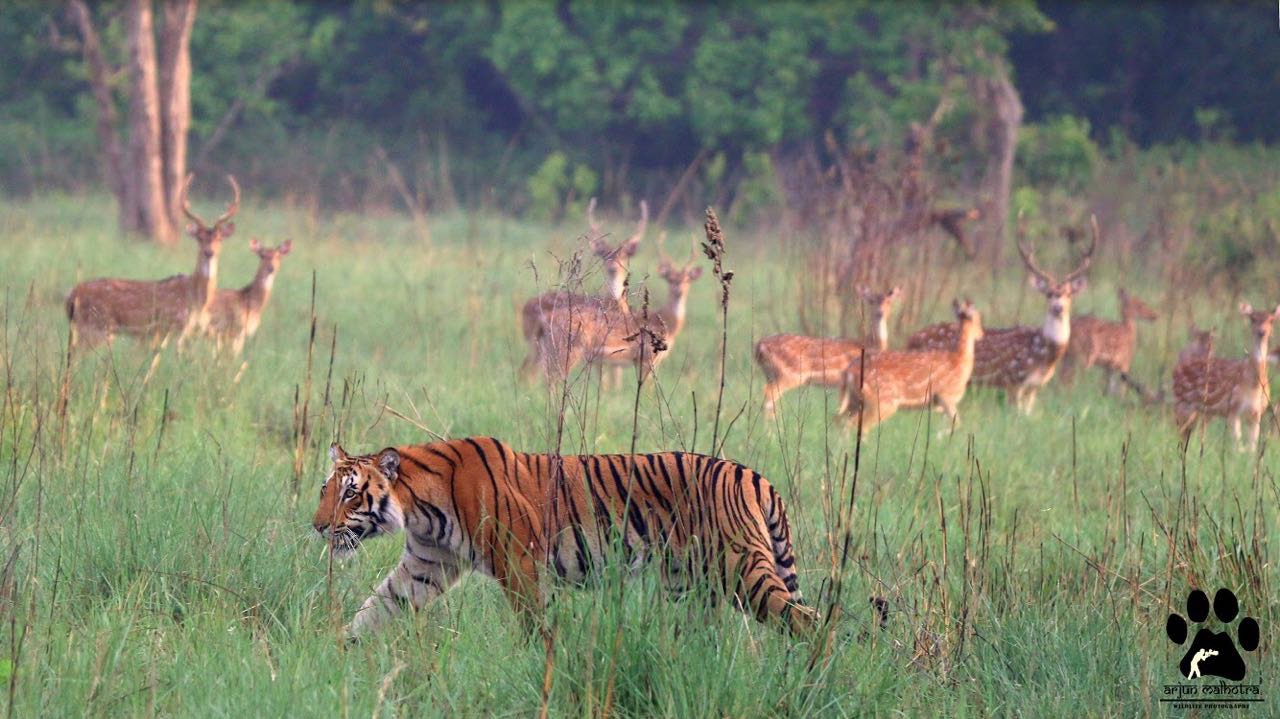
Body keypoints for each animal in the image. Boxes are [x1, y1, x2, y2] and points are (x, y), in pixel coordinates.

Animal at [312, 436, 818, 639]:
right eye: (324, 489)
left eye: (351, 493)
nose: (317, 526)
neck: (419, 508)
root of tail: (754, 475)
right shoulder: (425, 565)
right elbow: (376, 608)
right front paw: (337, 650)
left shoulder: (519, 564)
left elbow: (536, 624)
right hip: (688, 585)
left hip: (742, 568)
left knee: (808, 620)